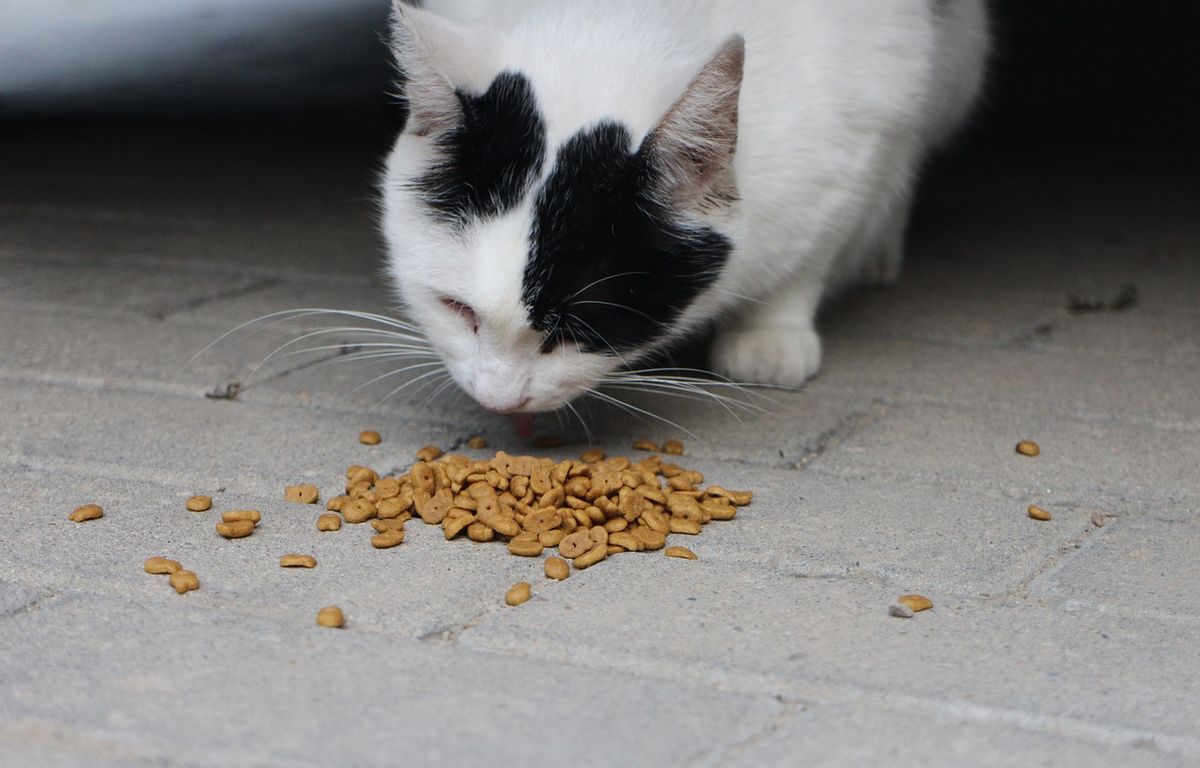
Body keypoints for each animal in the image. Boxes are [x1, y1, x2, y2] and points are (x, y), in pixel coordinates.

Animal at [379, 0, 988, 417]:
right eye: (457, 309)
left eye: (581, 328)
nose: (499, 400)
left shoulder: (871, 117)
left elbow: (817, 243)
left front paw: (772, 330)